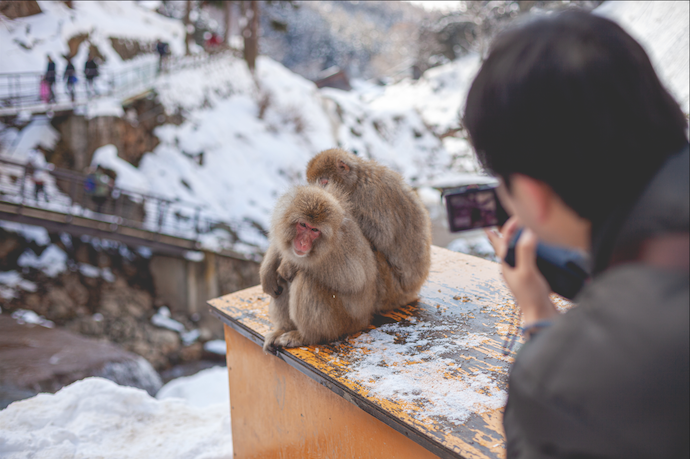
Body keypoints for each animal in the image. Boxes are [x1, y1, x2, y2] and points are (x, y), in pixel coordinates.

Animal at [260, 185, 378, 351]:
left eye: (315, 230)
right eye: (303, 225)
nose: (303, 243)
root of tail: (365, 321)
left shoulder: (339, 248)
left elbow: (353, 280)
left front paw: (290, 264)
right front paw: (268, 269)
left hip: (342, 324)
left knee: (306, 280)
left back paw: (306, 336)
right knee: (281, 282)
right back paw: (283, 329)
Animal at [306, 148, 432, 312]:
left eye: (324, 182)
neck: (356, 181)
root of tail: (411, 293)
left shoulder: (370, 195)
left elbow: (382, 235)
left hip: (389, 287)